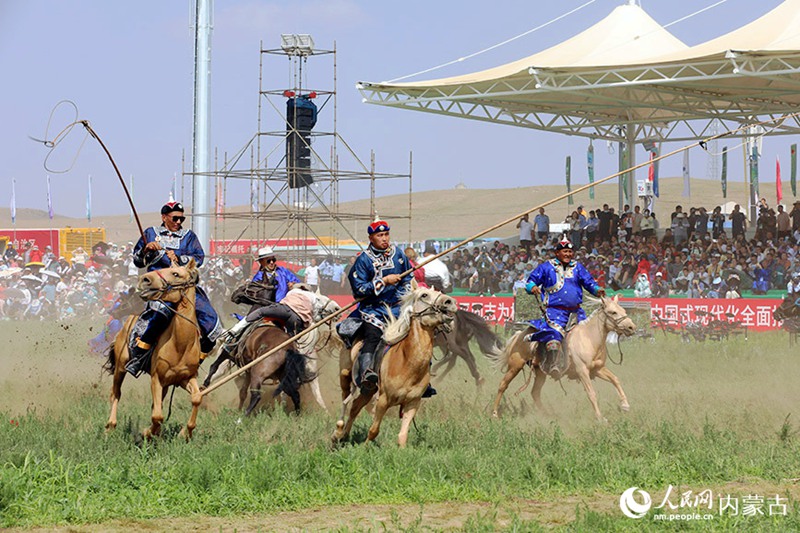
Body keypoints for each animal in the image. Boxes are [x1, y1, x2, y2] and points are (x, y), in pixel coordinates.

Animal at [104, 260, 203, 438]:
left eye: (176, 274)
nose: (144, 279)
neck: (181, 345)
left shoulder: (185, 378)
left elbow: (197, 397)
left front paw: (186, 433)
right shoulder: (157, 379)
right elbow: (157, 415)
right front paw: (148, 432)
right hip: (121, 367)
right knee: (116, 393)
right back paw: (110, 426)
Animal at [332, 288, 456, 446]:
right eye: (424, 295)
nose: (450, 302)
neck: (407, 363)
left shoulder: (413, 403)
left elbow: (402, 435)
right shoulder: (383, 400)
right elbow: (374, 430)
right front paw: (365, 447)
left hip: (369, 390)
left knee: (355, 406)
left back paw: (345, 435)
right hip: (346, 372)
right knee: (345, 396)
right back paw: (337, 432)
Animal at [488, 294, 636, 422]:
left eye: (623, 310)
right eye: (613, 312)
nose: (631, 327)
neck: (588, 338)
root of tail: (519, 334)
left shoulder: (597, 369)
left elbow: (615, 380)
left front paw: (625, 405)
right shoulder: (582, 371)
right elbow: (591, 393)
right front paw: (600, 418)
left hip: (540, 372)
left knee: (535, 392)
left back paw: (546, 414)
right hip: (515, 365)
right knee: (503, 385)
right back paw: (494, 413)